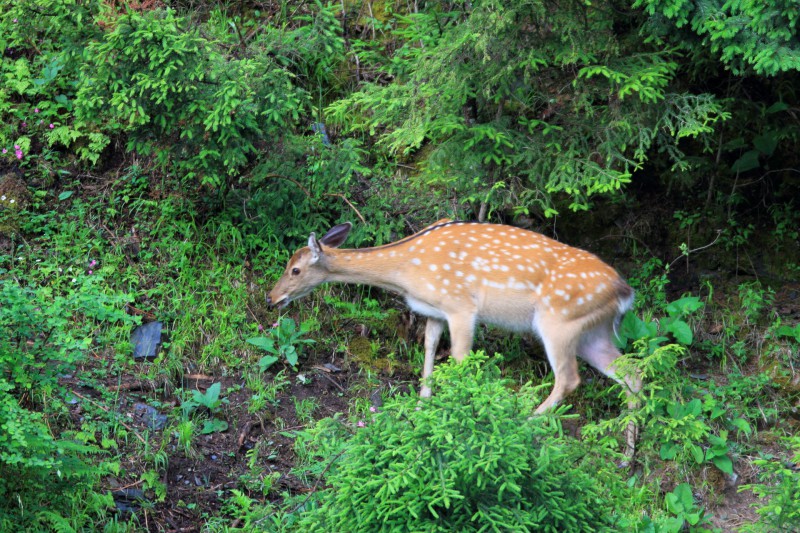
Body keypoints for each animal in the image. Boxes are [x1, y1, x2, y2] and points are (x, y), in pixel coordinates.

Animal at [268, 218, 644, 450]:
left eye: (295, 270)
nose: (272, 298)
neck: (406, 272)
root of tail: (625, 292)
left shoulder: (461, 306)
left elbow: (461, 360)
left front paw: (460, 414)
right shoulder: (435, 310)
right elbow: (430, 347)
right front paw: (422, 405)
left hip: (559, 321)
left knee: (569, 378)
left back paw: (526, 422)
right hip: (592, 333)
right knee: (632, 372)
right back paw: (628, 453)